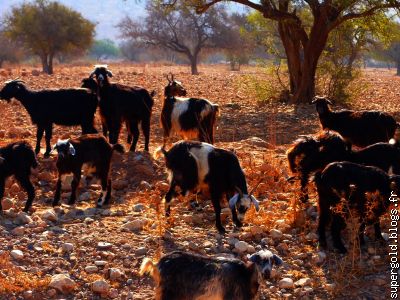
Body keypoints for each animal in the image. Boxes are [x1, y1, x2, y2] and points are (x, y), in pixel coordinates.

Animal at [139, 250, 282, 300]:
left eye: (272, 261)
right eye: (259, 260)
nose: (267, 273)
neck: (246, 275)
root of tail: (157, 264)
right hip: (169, 293)